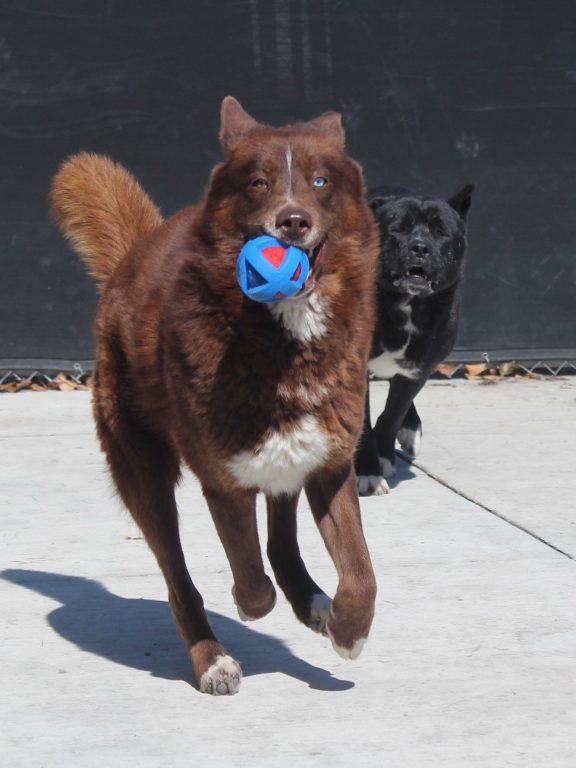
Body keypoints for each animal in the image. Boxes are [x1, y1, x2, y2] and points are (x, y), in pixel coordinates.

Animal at [50, 96, 380, 695]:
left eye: (320, 181)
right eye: (258, 182)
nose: (292, 221)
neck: (284, 338)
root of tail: (134, 256)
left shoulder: (329, 461)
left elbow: (361, 572)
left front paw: (349, 631)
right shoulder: (225, 479)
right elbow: (249, 578)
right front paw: (250, 608)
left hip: (286, 452)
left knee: (280, 542)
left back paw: (314, 604)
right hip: (143, 469)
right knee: (178, 577)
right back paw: (212, 656)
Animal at [355, 184, 474, 495]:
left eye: (440, 232)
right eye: (398, 229)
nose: (420, 247)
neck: (404, 304)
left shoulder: (419, 367)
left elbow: (392, 415)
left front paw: (382, 454)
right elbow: (363, 422)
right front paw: (366, 469)